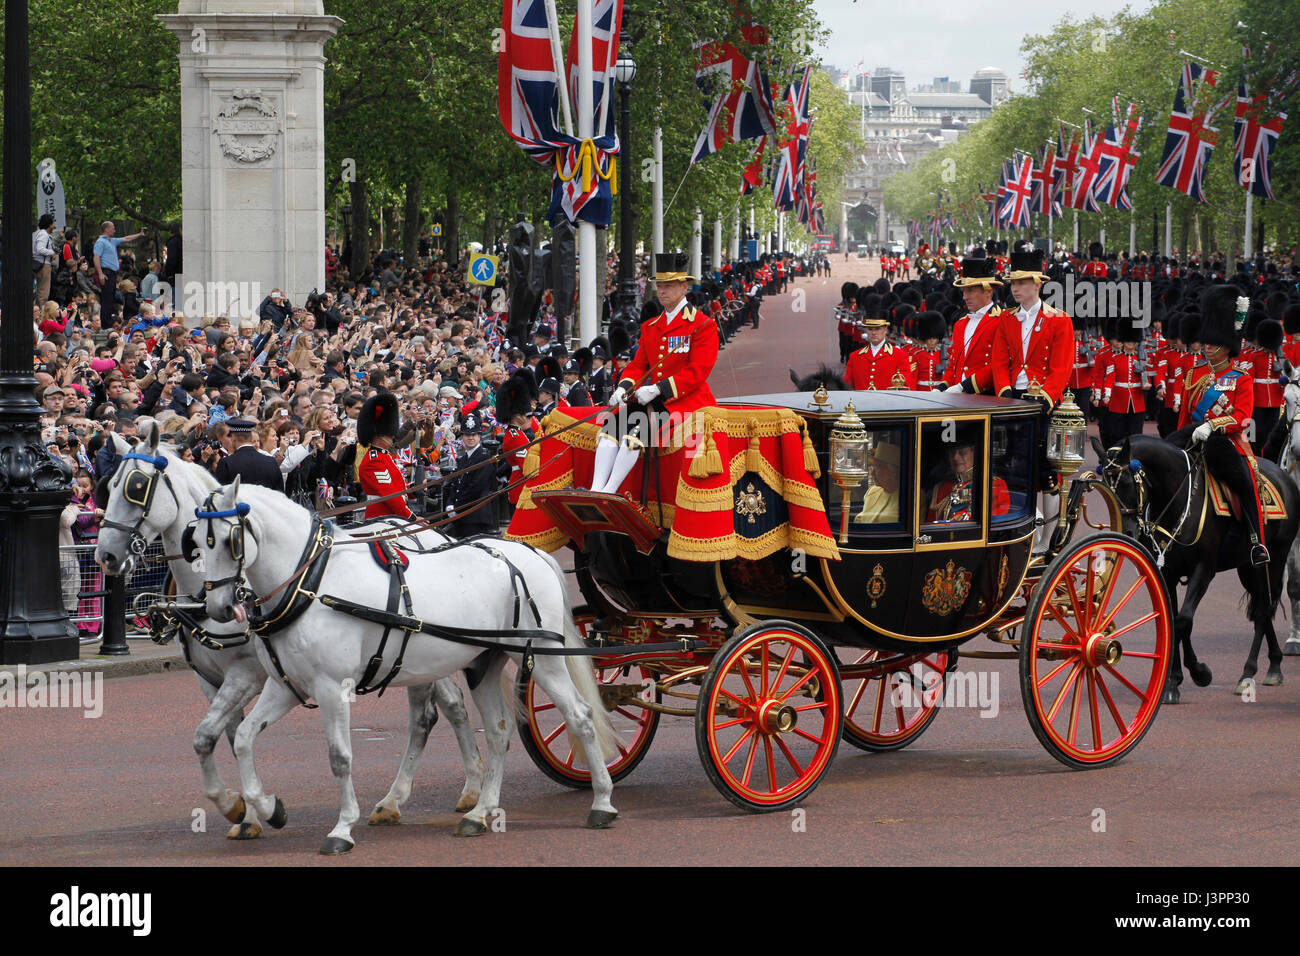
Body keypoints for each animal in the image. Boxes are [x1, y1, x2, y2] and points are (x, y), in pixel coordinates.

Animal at [94, 426, 486, 837]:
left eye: (136, 486)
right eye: (109, 485)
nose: (105, 556)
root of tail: (431, 533)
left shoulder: (246, 675)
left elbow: (215, 736)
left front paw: (248, 808)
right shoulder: (211, 680)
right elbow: (218, 737)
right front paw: (243, 810)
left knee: (435, 713)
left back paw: (437, 794)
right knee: (446, 707)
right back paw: (441, 793)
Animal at [191, 478, 618, 853]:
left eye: (228, 540)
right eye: (195, 541)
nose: (218, 608)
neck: (311, 585)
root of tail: (530, 553)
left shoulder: (333, 687)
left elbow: (339, 757)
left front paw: (342, 829)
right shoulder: (286, 686)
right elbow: (244, 738)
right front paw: (266, 808)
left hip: (542, 658)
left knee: (579, 715)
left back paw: (601, 802)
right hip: (482, 664)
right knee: (498, 731)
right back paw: (479, 814)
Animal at [1097, 434, 1300, 702]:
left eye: (1128, 483)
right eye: (1105, 487)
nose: (1128, 532)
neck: (1178, 498)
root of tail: (1285, 476)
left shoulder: (1203, 570)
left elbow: (1184, 620)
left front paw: (1199, 672)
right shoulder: (1168, 573)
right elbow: (1172, 620)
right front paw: (1173, 683)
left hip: (1274, 558)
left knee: (1264, 609)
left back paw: (1248, 674)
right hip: (1247, 568)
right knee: (1262, 607)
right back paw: (1274, 665)